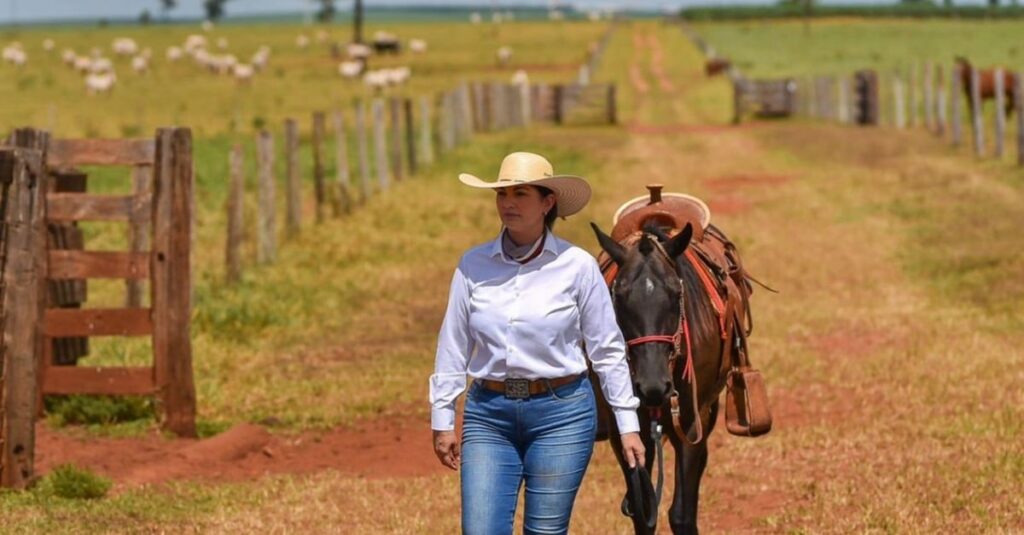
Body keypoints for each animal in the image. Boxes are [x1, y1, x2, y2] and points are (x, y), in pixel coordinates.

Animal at [589, 221, 724, 532]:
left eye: (676, 295)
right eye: (618, 298)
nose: (653, 387)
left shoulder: (691, 422)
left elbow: (682, 514)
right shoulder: (624, 430)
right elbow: (643, 511)